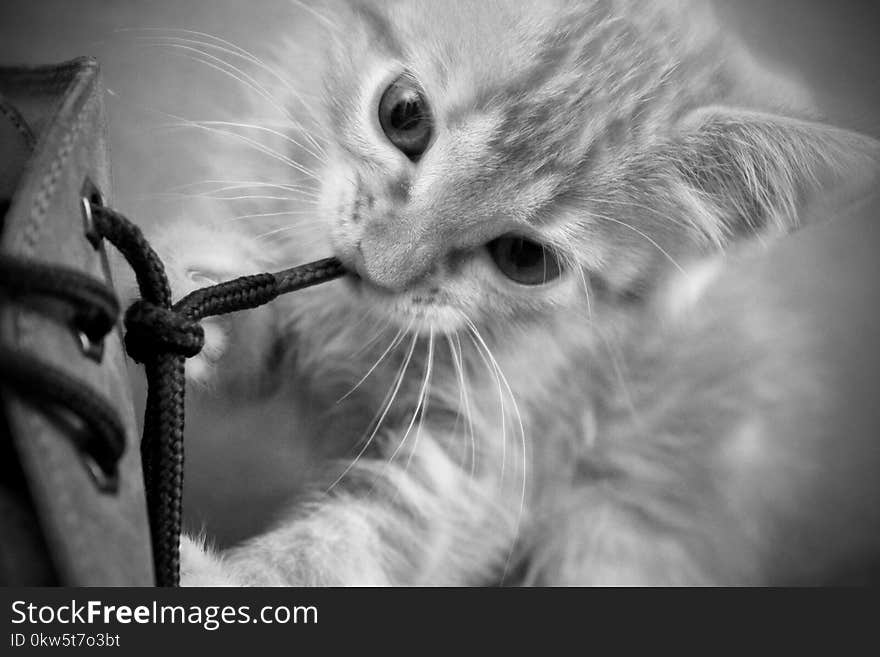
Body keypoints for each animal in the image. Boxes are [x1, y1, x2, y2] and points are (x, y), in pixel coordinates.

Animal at [144, 0, 880, 584]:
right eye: (403, 114)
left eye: (525, 258)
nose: (379, 265)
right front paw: (193, 286)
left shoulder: (498, 451)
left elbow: (368, 542)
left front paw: (221, 583)